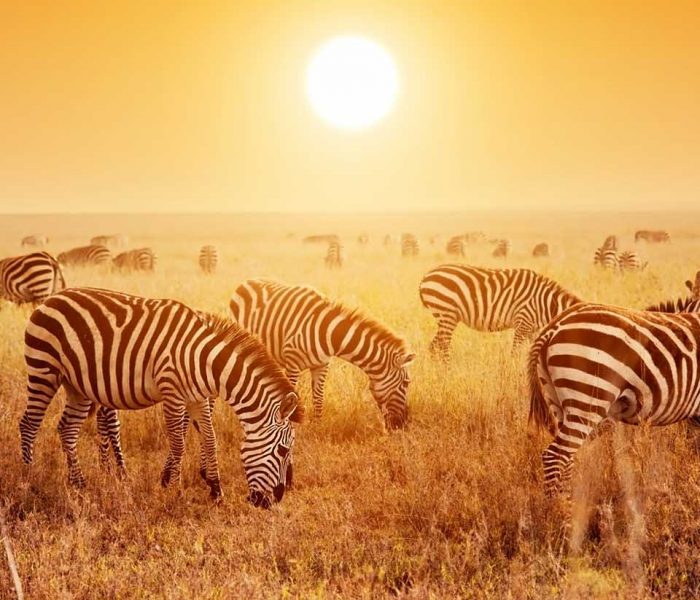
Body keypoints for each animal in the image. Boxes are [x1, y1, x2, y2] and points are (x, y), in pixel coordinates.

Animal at [20, 288, 303, 506]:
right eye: (282, 450)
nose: (273, 501)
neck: (204, 360)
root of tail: (51, 298)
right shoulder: (172, 393)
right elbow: (178, 443)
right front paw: (174, 491)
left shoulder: (197, 397)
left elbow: (210, 439)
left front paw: (215, 491)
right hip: (44, 369)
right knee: (29, 424)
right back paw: (28, 480)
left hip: (77, 385)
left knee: (67, 429)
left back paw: (79, 484)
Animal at [229, 279, 415, 428]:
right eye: (406, 383)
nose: (404, 424)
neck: (329, 334)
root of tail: (246, 281)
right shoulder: (293, 365)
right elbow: (292, 398)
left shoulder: (322, 365)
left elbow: (318, 398)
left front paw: (318, 426)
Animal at [419, 265, 581, 358]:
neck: (546, 303)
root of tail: (426, 276)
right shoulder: (523, 323)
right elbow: (514, 354)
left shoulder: (533, 330)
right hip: (447, 314)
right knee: (443, 346)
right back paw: (448, 373)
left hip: (446, 317)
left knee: (434, 346)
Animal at [529, 302, 700, 497]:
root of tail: (556, 324)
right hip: (587, 399)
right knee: (555, 456)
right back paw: (557, 505)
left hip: (558, 402)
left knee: (567, 457)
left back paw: (568, 500)